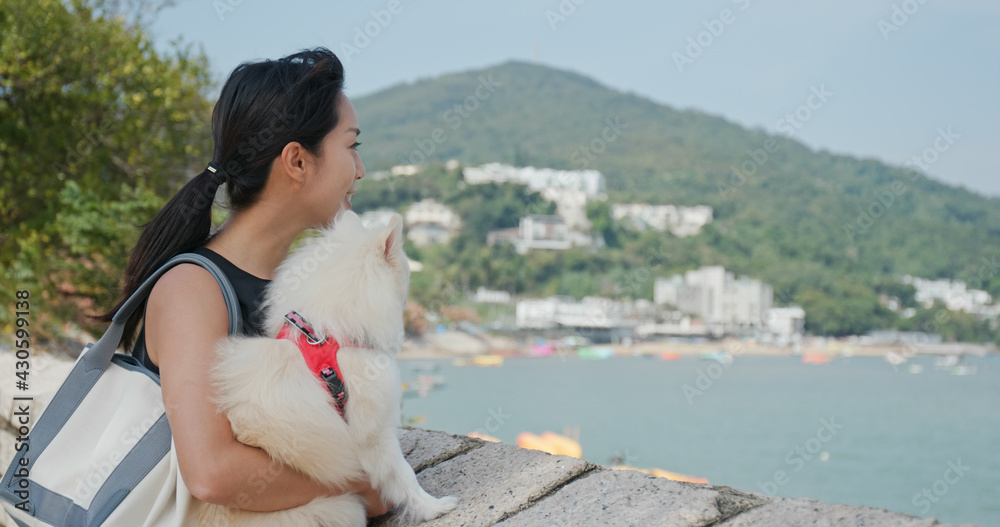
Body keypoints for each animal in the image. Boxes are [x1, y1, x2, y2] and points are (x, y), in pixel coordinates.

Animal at [193, 211, 458, 527]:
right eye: (406, 270)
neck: (328, 338)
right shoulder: (375, 434)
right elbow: (403, 475)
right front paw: (432, 507)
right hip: (343, 506)